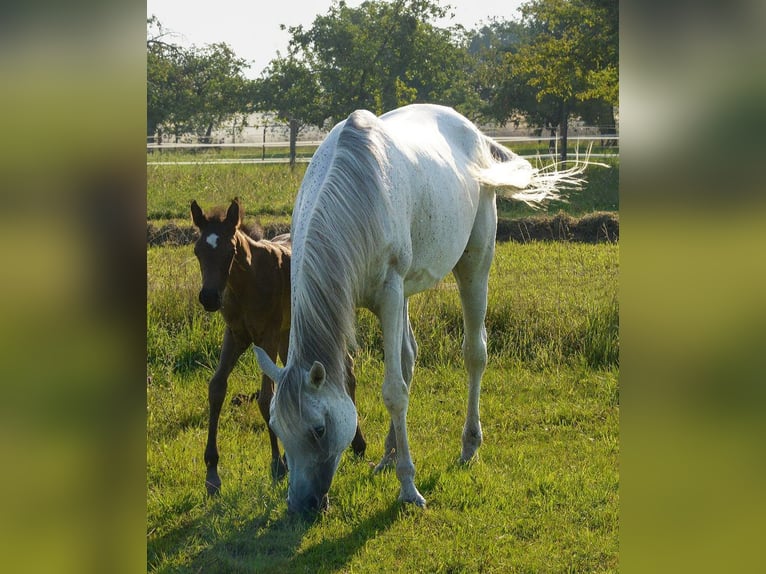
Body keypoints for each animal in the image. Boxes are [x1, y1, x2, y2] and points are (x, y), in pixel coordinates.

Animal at [255, 104, 584, 516]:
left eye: (319, 429)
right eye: (277, 428)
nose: (301, 505)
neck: (354, 191)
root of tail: (473, 131)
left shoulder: (390, 294)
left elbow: (394, 391)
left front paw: (409, 488)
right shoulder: (385, 299)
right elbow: (398, 374)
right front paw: (394, 463)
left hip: (474, 265)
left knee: (474, 353)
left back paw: (468, 446)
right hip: (408, 293)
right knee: (409, 357)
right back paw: (387, 455)